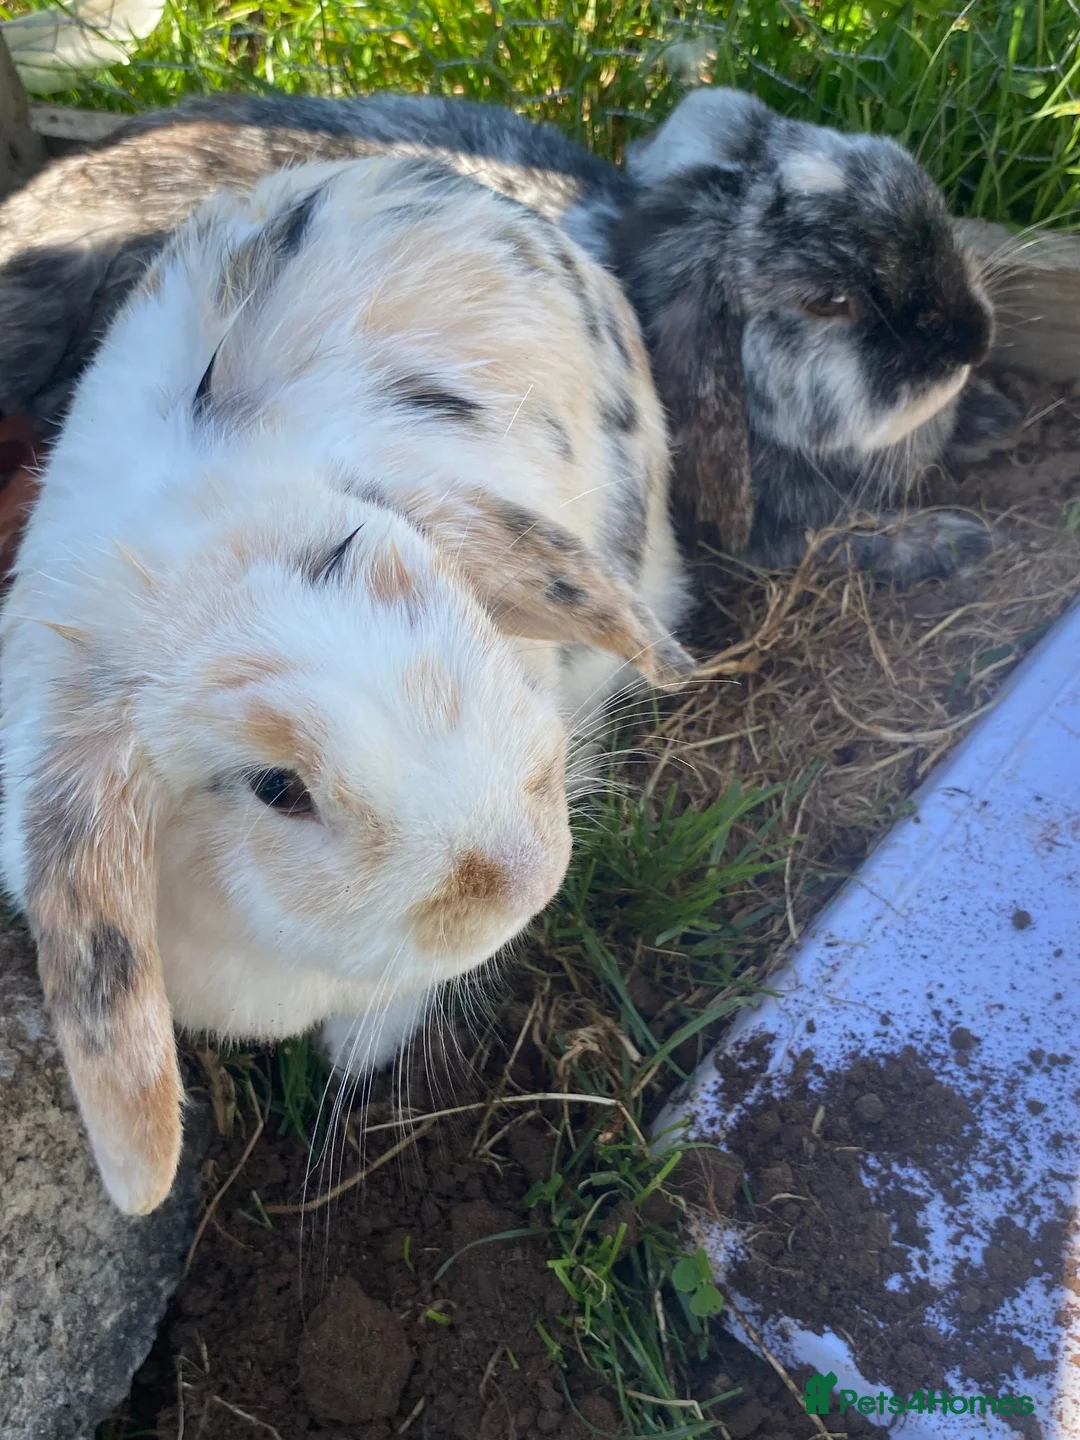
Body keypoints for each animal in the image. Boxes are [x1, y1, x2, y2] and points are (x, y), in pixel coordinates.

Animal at [0, 87, 1017, 584]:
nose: (970, 340)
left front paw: (989, 420)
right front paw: (950, 544)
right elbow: (841, 544)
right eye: (830, 302)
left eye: (924, 198)